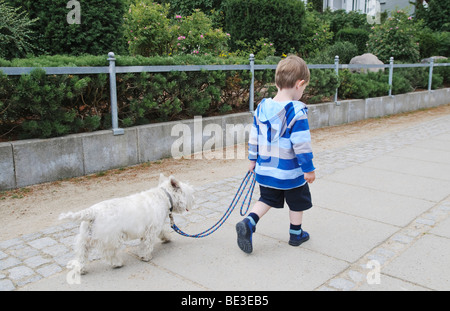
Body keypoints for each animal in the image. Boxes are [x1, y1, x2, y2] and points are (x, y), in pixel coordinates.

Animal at [59, 174, 194, 274]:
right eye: (189, 192)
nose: (193, 201)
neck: (164, 196)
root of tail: (92, 212)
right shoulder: (151, 230)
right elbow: (147, 244)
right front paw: (145, 257)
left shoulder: (154, 226)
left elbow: (162, 232)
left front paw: (167, 238)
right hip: (111, 238)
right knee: (109, 253)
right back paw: (117, 263)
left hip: (85, 237)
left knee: (82, 253)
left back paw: (81, 269)